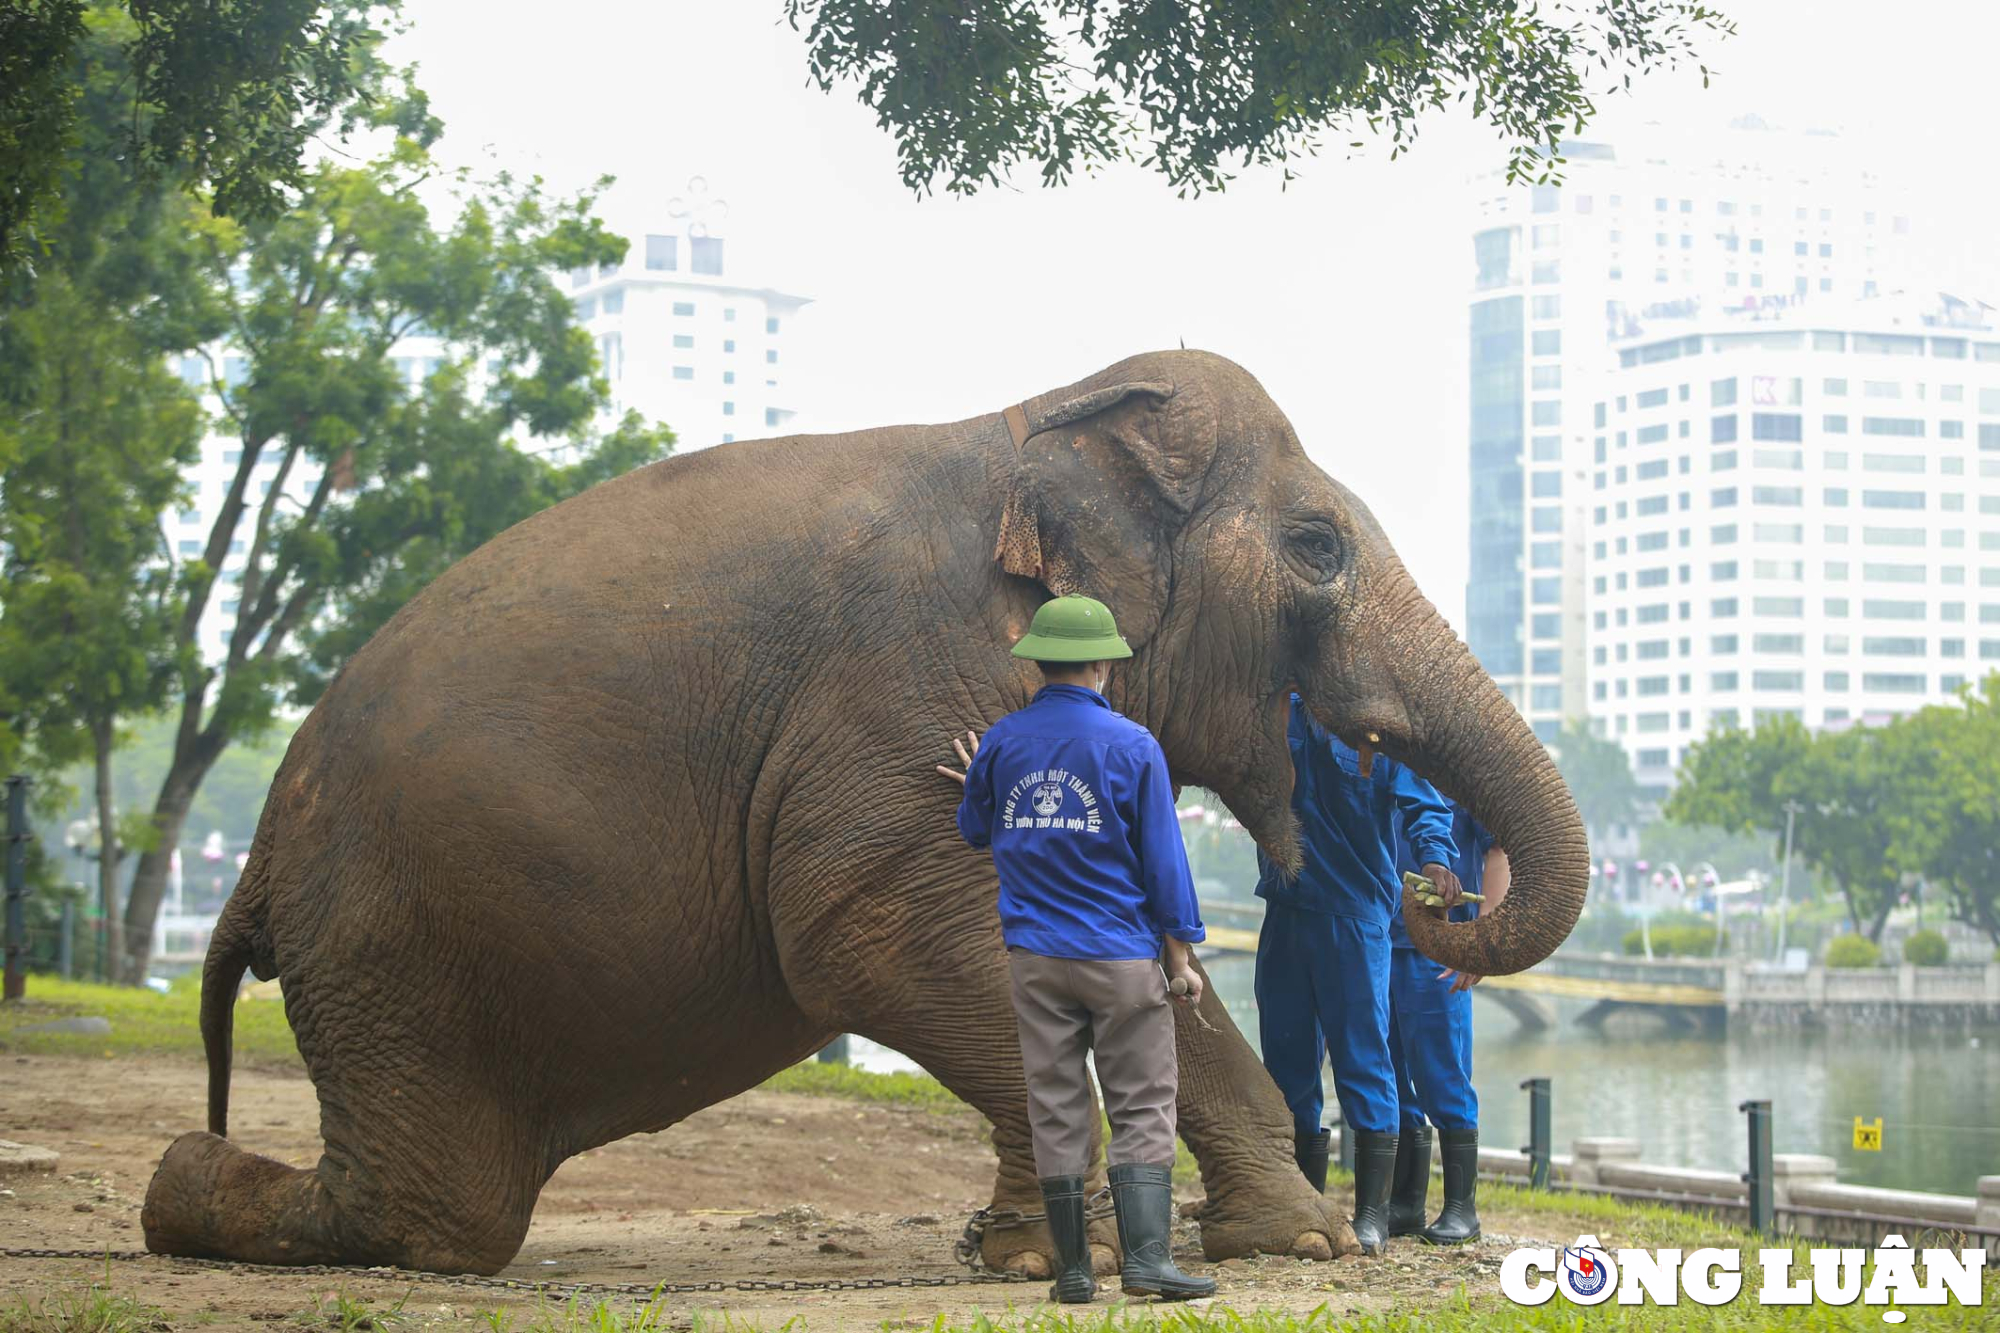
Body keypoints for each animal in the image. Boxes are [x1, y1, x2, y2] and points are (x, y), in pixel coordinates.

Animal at [141, 348, 1584, 1272]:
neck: (1035, 417)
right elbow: (864, 939)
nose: (1437, 887)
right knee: (433, 1220)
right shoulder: (901, 688)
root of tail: (254, 862)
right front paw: (1041, 1255)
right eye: (1318, 548)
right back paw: (177, 1190)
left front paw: (1299, 1243)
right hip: (401, 954)